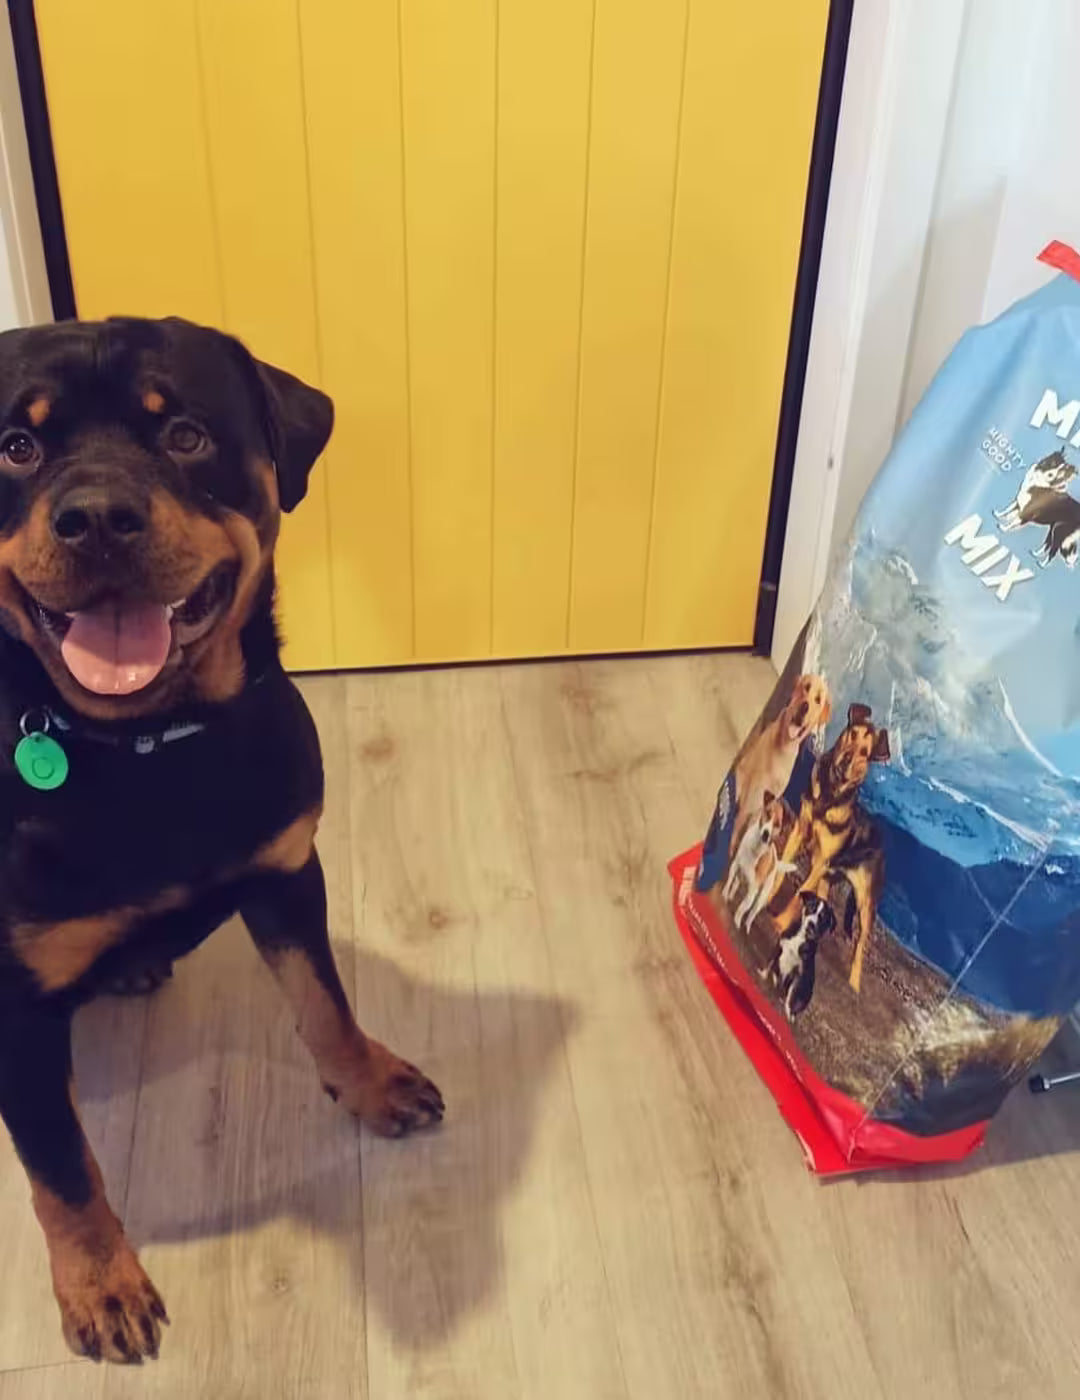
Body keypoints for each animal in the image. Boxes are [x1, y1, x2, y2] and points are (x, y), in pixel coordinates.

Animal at [0, 317, 444, 1364]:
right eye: (18, 447)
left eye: (187, 435)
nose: (97, 517)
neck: (145, 745)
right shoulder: (17, 1004)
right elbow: (62, 1167)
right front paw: (101, 1286)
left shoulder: (285, 872)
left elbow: (324, 1002)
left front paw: (371, 1083)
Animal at [722, 791, 795, 930]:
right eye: (768, 813)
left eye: (777, 824)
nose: (766, 833)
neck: (755, 849)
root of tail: (775, 861)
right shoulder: (735, 865)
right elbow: (728, 882)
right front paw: (724, 894)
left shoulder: (752, 891)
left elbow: (742, 908)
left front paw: (736, 921)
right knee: (735, 884)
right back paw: (730, 896)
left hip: (761, 897)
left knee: (752, 913)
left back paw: (747, 925)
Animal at [763, 890, 836, 1019]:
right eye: (810, 907)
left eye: (822, 917)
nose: (811, 924)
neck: (801, 937)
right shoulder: (779, 947)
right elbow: (769, 963)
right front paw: (762, 975)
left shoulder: (799, 974)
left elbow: (791, 995)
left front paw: (788, 1012)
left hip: (806, 994)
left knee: (795, 1001)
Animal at [771, 703, 889, 992]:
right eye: (852, 733)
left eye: (865, 753)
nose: (846, 760)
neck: (830, 793)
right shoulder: (799, 833)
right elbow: (779, 873)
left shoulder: (821, 861)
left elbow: (799, 892)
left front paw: (780, 921)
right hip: (826, 879)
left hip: (866, 904)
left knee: (860, 945)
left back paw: (854, 983)